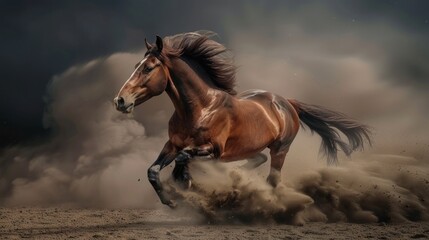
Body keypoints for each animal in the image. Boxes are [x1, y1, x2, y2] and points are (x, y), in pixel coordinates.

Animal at [113, 31, 372, 208]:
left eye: (148, 68)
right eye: (136, 65)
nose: (120, 100)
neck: (200, 109)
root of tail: (287, 102)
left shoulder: (213, 149)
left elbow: (184, 157)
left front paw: (184, 183)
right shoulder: (172, 144)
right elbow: (153, 170)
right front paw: (172, 200)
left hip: (280, 149)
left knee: (272, 178)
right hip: (246, 149)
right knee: (257, 160)